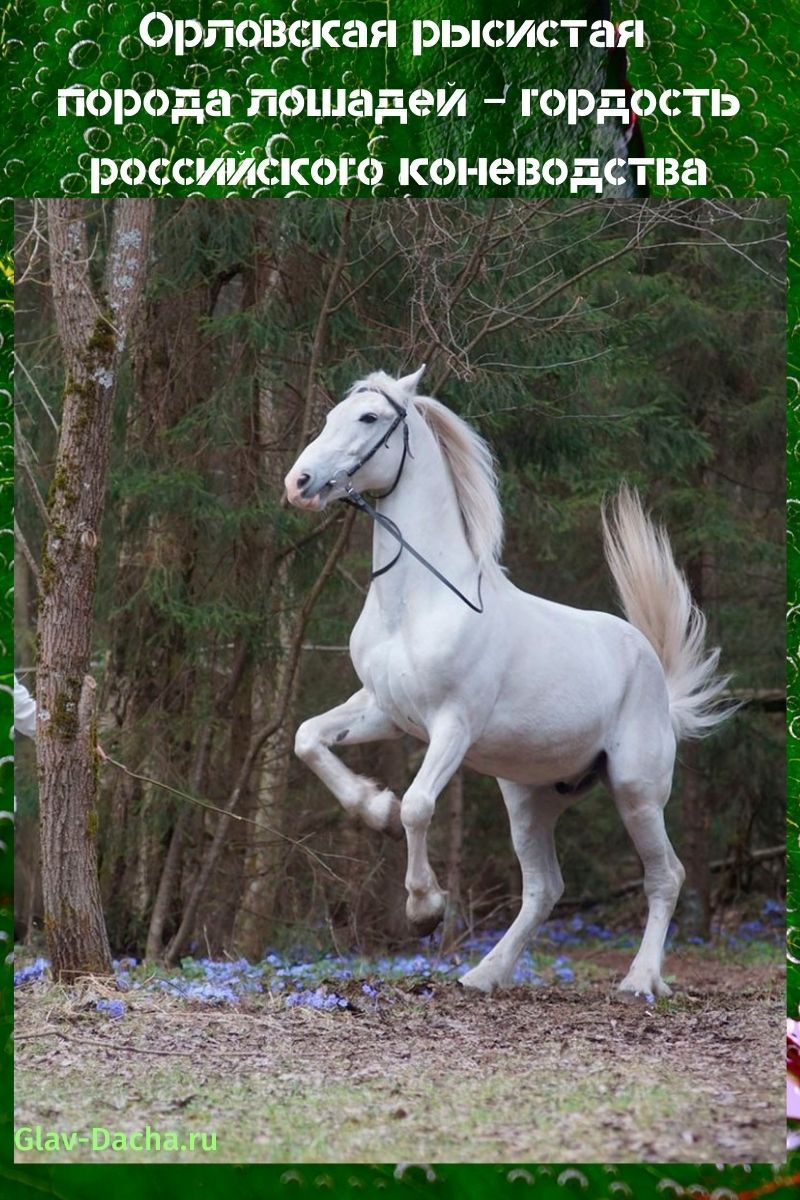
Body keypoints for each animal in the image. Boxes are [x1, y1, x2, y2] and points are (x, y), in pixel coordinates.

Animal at [286, 369, 734, 998]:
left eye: (369, 418)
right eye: (330, 416)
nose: (298, 483)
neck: (421, 602)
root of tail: (659, 683)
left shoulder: (453, 725)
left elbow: (418, 806)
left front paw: (424, 909)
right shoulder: (383, 711)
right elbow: (308, 739)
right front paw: (371, 806)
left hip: (636, 790)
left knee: (665, 874)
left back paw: (641, 981)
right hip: (529, 798)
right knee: (545, 887)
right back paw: (483, 975)